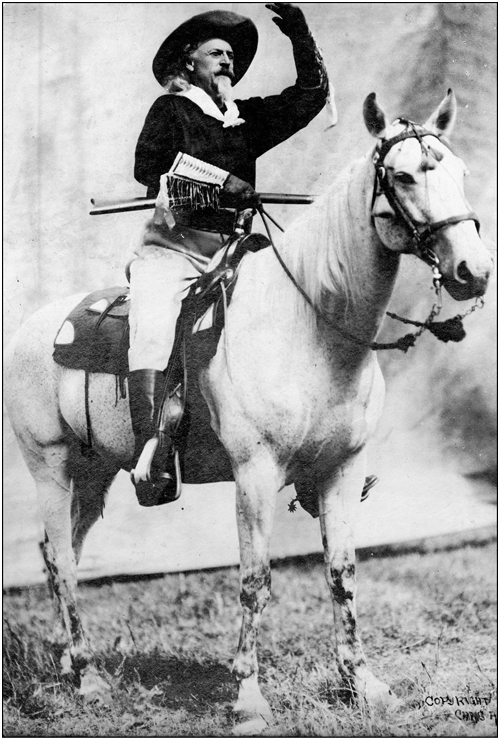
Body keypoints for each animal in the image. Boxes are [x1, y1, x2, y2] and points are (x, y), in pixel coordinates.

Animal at [3, 89, 492, 732]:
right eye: (404, 175)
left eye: (459, 172)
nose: (472, 271)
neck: (308, 324)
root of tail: (34, 326)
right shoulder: (256, 475)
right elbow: (255, 579)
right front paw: (249, 697)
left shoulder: (343, 470)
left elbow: (342, 572)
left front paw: (360, 683)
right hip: (52, 469)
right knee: (60, 560)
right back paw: (86, 678)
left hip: (94, 471)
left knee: (63, 556)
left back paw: (68, 661)